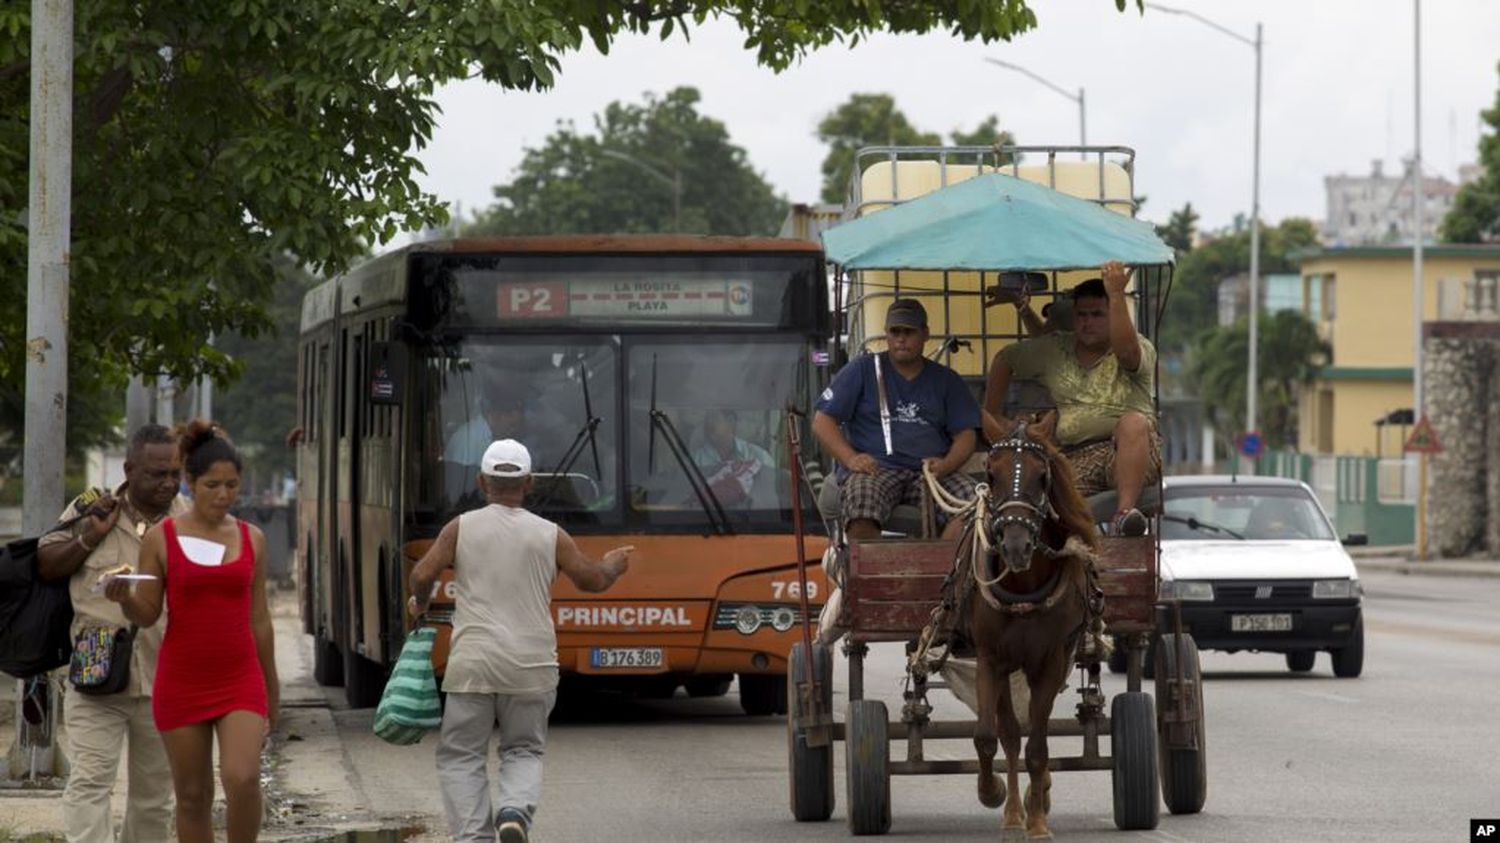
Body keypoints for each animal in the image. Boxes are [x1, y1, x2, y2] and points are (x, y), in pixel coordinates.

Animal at [966, 423, 1098, 834]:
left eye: (1042, 477)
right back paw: (1011, 812)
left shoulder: (1052, 661)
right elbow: (987, 735)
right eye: (990, 475)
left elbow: (1038, 746)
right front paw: (990, 791)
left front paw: (1038, 821)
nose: (1016, 547)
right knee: (1009, 732)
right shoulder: (989, 658)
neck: (1023, 586)